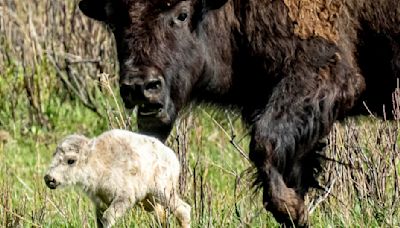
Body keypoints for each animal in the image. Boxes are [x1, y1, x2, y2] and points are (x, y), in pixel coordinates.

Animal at [43, 129, 191, 227]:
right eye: (54, 155)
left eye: (71, 160)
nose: (49, 178)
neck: (99, 162)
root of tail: (173, 158)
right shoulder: (100, 203)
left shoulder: (124, 197)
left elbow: (107, 219)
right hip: (149, 200)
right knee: (162, 216)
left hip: (162, 191)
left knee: (183, 209)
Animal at [77, 0, 400, 226]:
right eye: (115, 21)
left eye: (182, 14)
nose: (141, 86)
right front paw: (296, 209)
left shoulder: (324, 74)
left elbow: (264, 143)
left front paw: (291, 209)